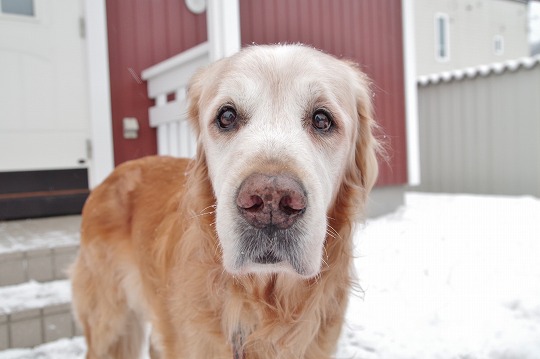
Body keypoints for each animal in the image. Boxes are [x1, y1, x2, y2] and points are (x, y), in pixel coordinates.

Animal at [69, 45, 378, 359]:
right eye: (227, 116)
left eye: (322, 119)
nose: (270, 200)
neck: (263, 305)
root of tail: (111, 175)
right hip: (110, 327)